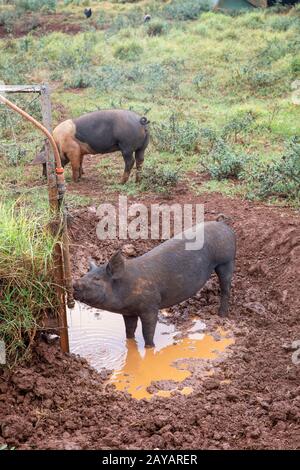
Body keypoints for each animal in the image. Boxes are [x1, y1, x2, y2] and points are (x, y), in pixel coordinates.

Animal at [73, 218, 237, 346]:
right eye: (86, 274)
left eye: (97, 279)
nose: (74, 283)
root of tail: (224, 225)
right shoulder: (128, 312)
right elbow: (129, 330)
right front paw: (130, 343)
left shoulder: (150, 305)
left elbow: (148, 331)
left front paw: (150, 347)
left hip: (226, 260)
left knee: (226, 288)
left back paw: (221, 315)